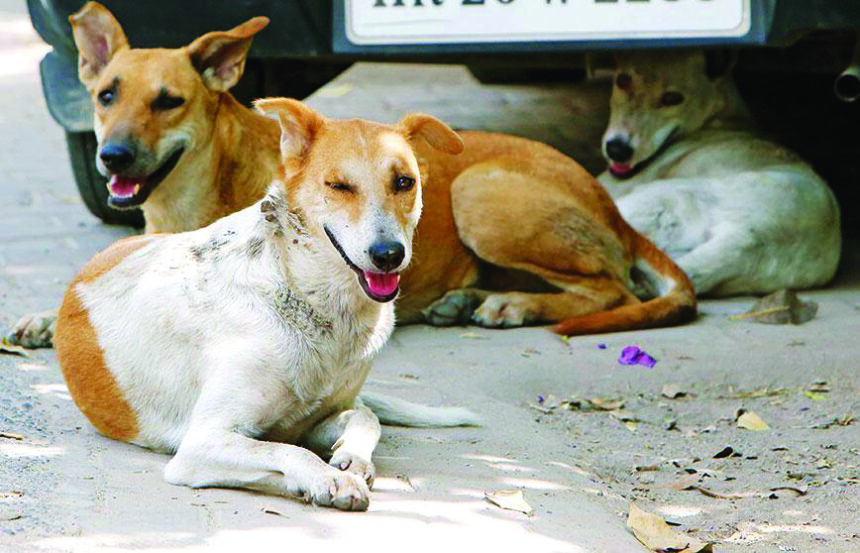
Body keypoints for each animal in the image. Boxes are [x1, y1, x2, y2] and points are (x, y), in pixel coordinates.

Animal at [6, 1, 696, 344]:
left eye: (168, 101)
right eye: (106, 96)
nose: (113, 157)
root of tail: (613, 206)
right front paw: (46, 316)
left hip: (479, 194)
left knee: (614, 290)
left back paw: (511, 305)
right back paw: (473, 298)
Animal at [53, 99, 478, 508]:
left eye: (404, 182)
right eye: (339, 185)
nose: (388, 254)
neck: (307, 295)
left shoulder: (318, 417)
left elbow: (365, 415)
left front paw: (351, 458)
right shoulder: (202, 443)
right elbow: (287, 451)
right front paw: (327, 479)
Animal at [596, 49, 840, 296]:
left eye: (672, 99)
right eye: (622, 80)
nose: (617, 150)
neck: (721, 118)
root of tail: (748, 239)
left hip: (657, 198)